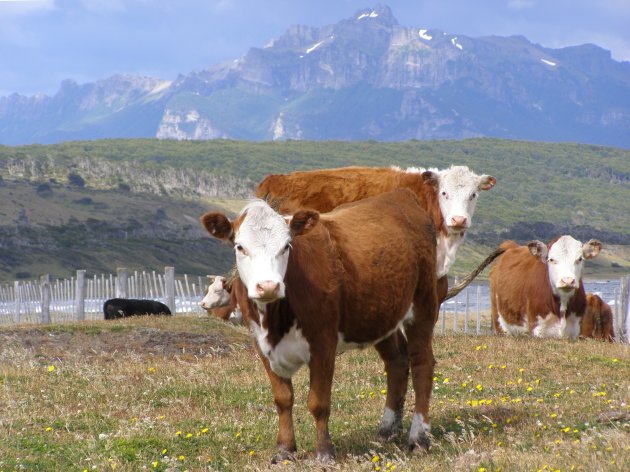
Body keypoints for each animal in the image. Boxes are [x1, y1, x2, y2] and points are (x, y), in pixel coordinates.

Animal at [201, 188, 440, 460]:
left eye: (287, 246)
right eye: (240, 247)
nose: (269, 286)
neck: (275, 322)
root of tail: (400, 195)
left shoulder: (324, 342)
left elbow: (318, 403)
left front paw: (325, 452)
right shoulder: (261, 345)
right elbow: (283, 399)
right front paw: (285, 449)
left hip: (423, 303)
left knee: (422, 363)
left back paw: (419, 437)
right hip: (379, 315)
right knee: (397, 361)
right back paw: (387, 429)